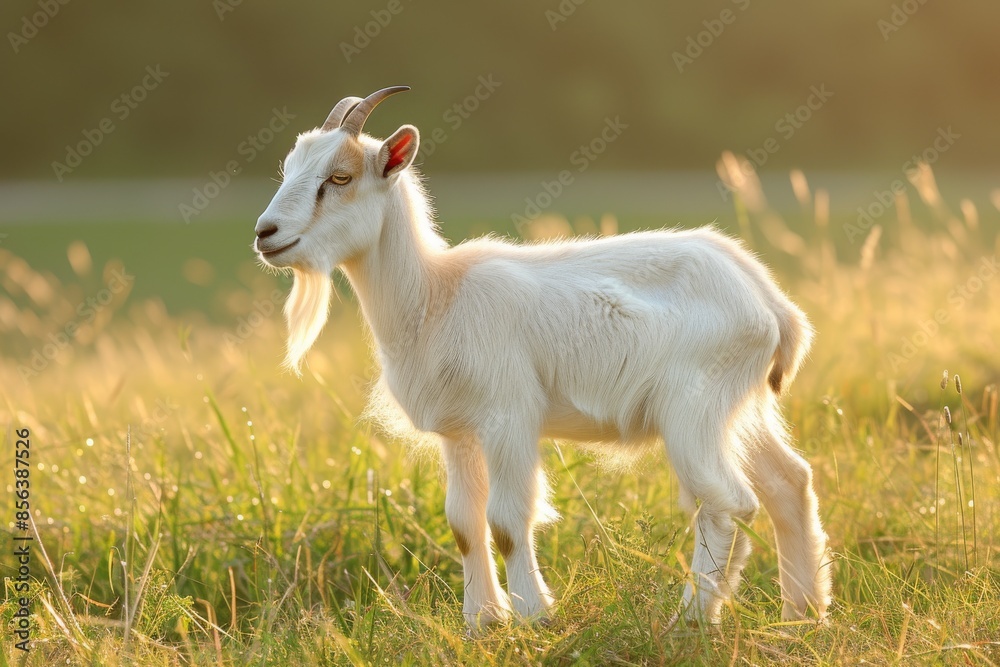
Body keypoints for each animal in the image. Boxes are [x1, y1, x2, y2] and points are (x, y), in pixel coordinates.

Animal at [254, 86, 831, 627]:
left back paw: (691, 619)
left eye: (340, 177)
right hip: (742, 407)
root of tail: (771, 302)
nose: (265, 233)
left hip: (695, 408)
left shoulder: (509, 416)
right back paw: (802, 615)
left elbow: (508, 521)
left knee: (726, 503)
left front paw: (534, 616)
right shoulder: (459, 432)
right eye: (289, 169)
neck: (436, 297)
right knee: (789, 483)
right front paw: (481, 621)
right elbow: (464, 524)